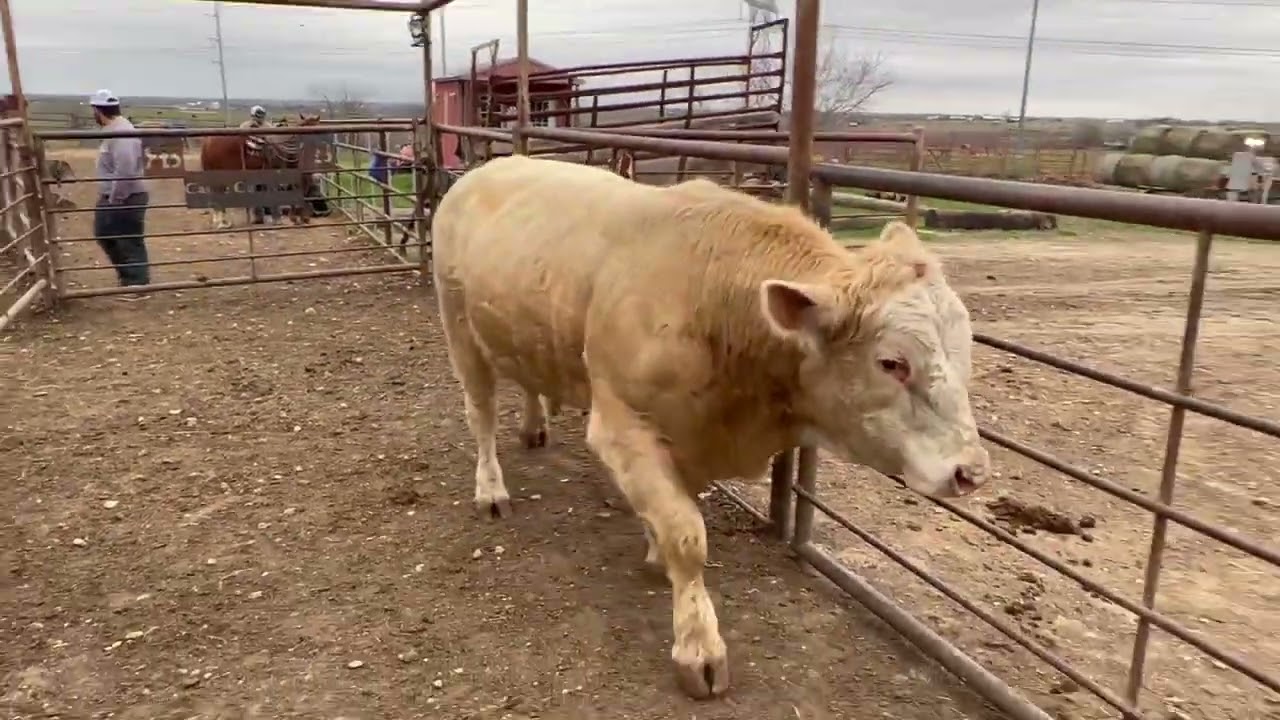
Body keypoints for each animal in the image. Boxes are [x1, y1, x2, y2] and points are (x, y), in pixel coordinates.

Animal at [431, 155, 991, 699]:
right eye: (892, 363)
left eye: (966, 347)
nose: (971, 472)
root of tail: (487, 168)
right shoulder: (622, 425)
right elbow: (687, 536)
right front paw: (699, 648)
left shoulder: (693, 437)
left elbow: (674, 514)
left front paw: (655, 549)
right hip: (459, 328)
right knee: (480, 413)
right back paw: (491, 489)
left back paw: (533, 427)